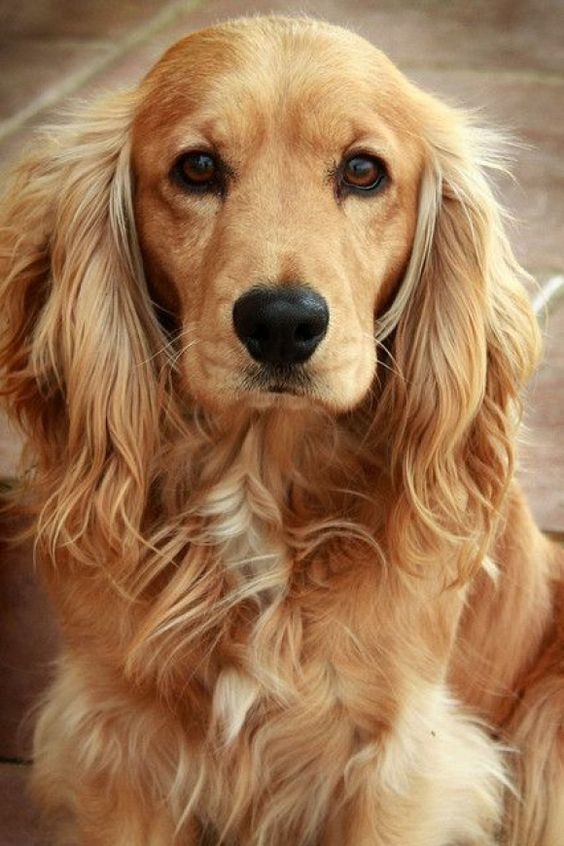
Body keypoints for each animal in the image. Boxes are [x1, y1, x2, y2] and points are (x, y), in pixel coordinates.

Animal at [1, 13, 564, 846]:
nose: (280, 323)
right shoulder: (116, 741)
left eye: (363, 171)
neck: (256, 478)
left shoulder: (401, 763)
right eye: (198, 167)